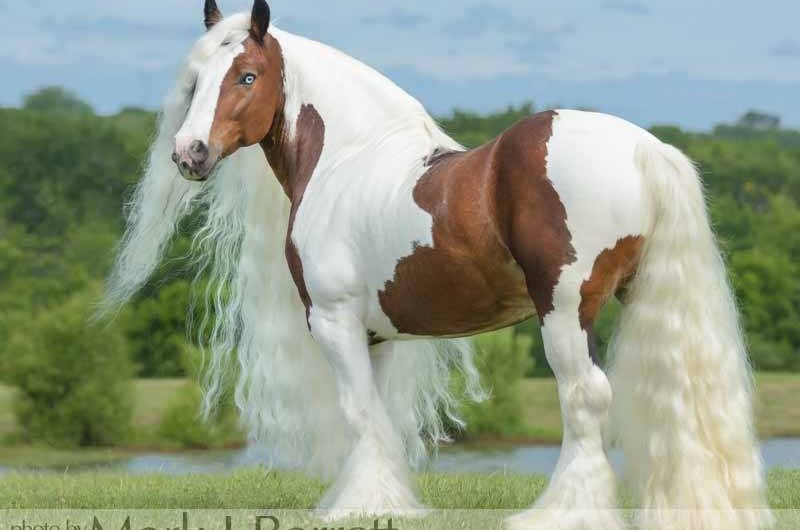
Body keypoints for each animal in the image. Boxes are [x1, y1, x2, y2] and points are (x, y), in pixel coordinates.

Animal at [103, 2, 772, 524]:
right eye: (196, 81)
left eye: (246, 75)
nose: (189, 153)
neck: (348, 158)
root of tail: (643, 147)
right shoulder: (375, 334)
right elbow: (376, 416)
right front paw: (383, 501)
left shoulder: (334, 321)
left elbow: (359, 413)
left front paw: (361, 507)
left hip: (564, 311)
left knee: (585, 399)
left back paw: (560, 513)